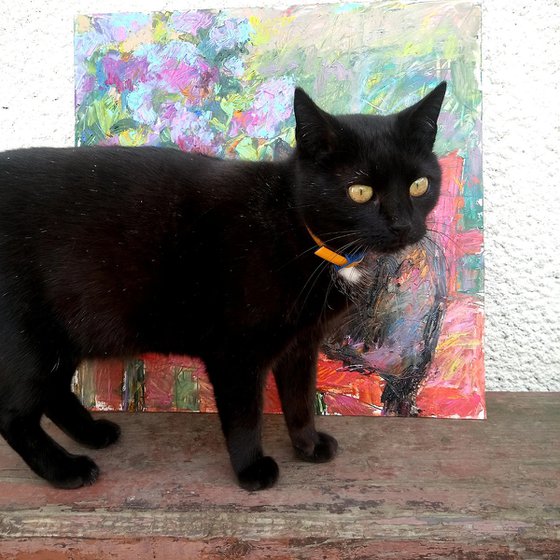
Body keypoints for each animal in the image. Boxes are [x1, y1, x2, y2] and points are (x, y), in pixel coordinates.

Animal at [0, 83, 446, 490]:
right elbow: (245, 415)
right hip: (29, 336)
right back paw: (65, 470)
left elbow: (300, 399)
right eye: (359, 191)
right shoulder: (236, 351)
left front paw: (307, 445)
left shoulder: (302, 342)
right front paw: (251, 469)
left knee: (54, 391)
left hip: (65, 334)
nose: (402, 225)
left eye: (419, 185)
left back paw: (91, 434)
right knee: (13, 415)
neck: (296, 228)